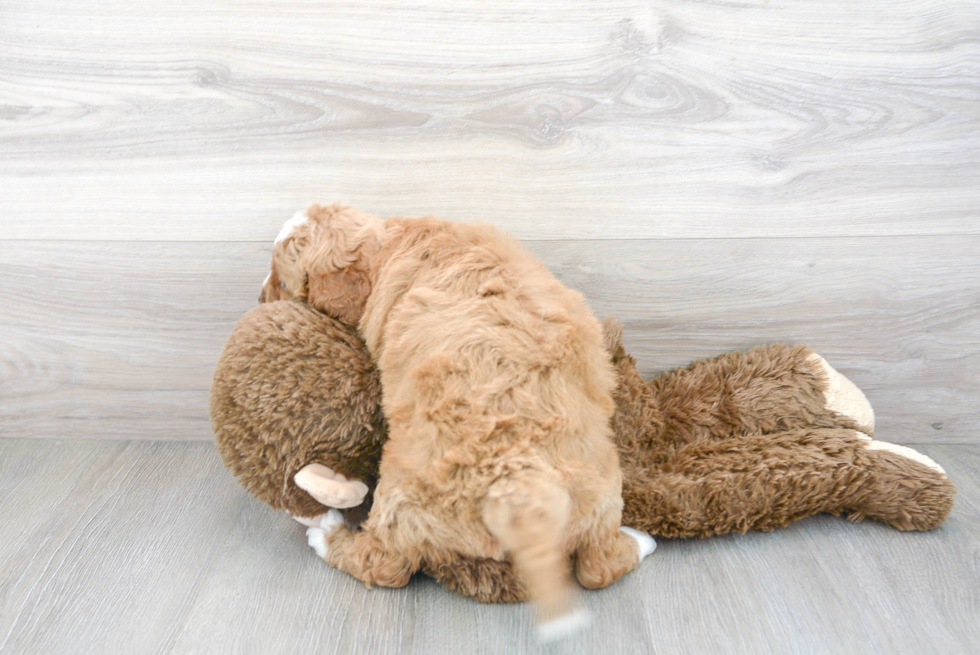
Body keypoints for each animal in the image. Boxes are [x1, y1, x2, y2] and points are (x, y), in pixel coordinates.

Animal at [264, 205, 656, 640]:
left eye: (281, 279)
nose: (260, 298)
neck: (386, 243)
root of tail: (519, 495)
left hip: (402, 500)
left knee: (384, 565)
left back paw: (327, 533)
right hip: (603, 493)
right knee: (598, 567)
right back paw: (641, 540)